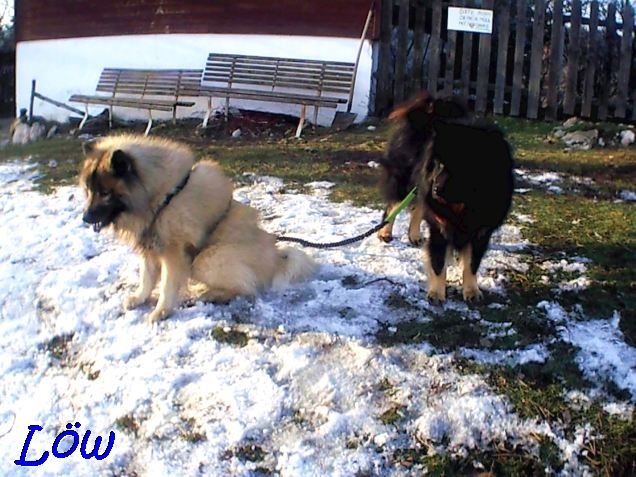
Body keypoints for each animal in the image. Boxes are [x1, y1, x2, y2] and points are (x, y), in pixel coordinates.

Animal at [80, 133, 314, 324]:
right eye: (89, 190)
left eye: (105, 193)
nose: (85, 218)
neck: (160, 198)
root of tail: (276, 259)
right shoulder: (150, 246)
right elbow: (146, 278)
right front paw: (139, 298)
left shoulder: (173, 252)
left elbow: (166, 286)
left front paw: (160, 312)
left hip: (206, 259)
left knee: (246, 288)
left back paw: (209, 294)